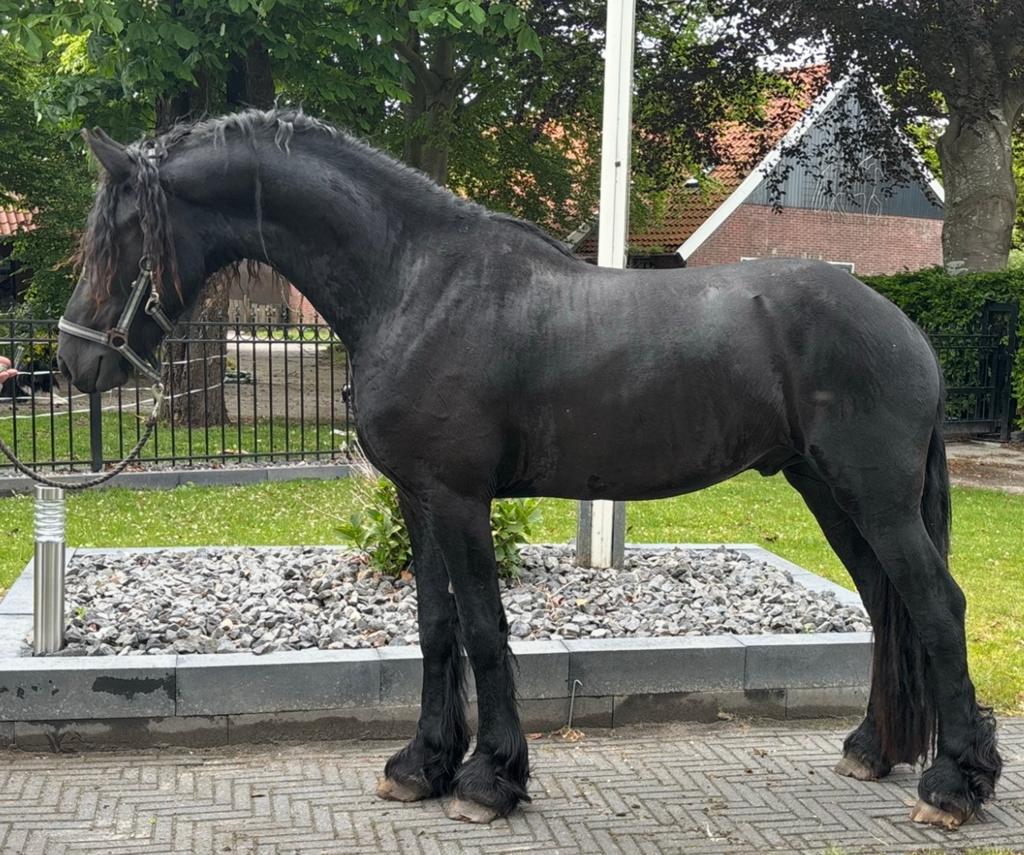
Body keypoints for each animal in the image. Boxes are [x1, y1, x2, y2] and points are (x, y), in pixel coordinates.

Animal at [57, 108, 1001, 829]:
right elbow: (436, 628)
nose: (72, 362)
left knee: (936, 605)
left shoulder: (459, 497)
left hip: (875, 497)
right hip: (829, 491)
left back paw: (953, 784)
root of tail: (907, 327)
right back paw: (872, 750)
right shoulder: (417, 497)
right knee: (886, 605)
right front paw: (422, 764)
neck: (415, 282)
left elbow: (483, 628)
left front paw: (489, 778)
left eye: (122, 235)